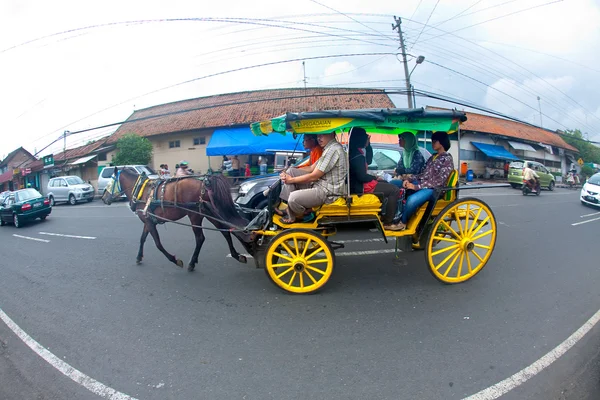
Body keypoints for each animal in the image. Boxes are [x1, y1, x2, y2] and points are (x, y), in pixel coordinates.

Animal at [102, 166, 252, 272]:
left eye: (109, 183)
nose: (103, 198)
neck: (140, 191)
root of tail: (204, 183)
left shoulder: (149, 222)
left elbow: (158, 244)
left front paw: (175, 260)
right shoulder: (148, 221)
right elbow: (142, 238)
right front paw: (139, 257)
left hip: (195, 215)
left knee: (200, 238)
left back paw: (192, 263)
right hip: (208, 211)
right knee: (225, 231)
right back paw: (237, 255)